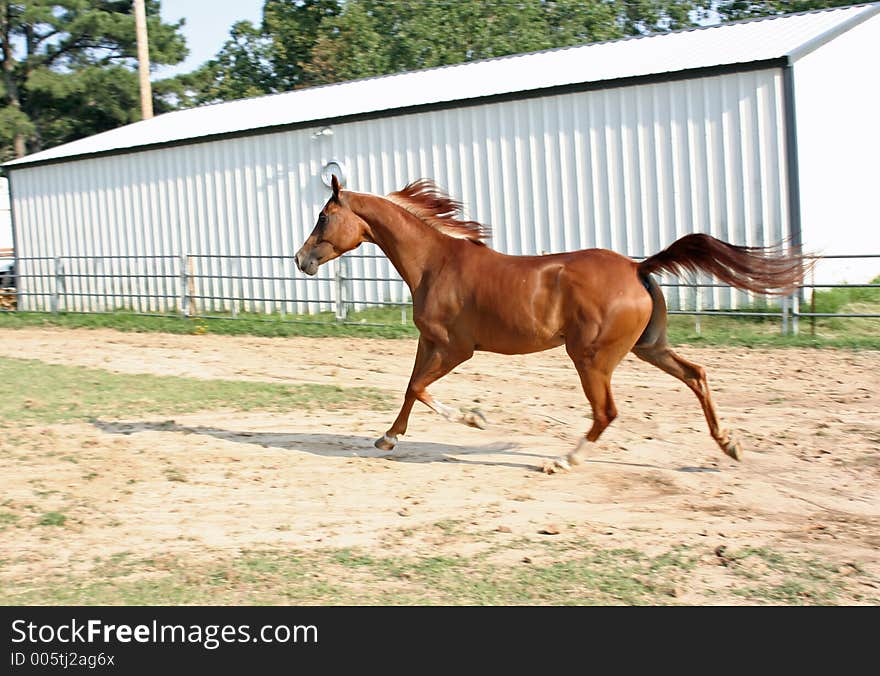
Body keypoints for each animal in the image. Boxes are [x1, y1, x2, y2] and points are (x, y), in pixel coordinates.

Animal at [300, 174, 808, 470]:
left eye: (323, 216)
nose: (301, 259)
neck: (434, 264)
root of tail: (637, 267)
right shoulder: (429, 343)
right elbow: (410, 388)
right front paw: (387, 438)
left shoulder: (455, 348)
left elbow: (422, 389)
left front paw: (475, 419)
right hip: (648, 347)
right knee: (696, 375)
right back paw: (729, 445)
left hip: (590, 357)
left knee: (607, 412)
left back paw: (564, 460)